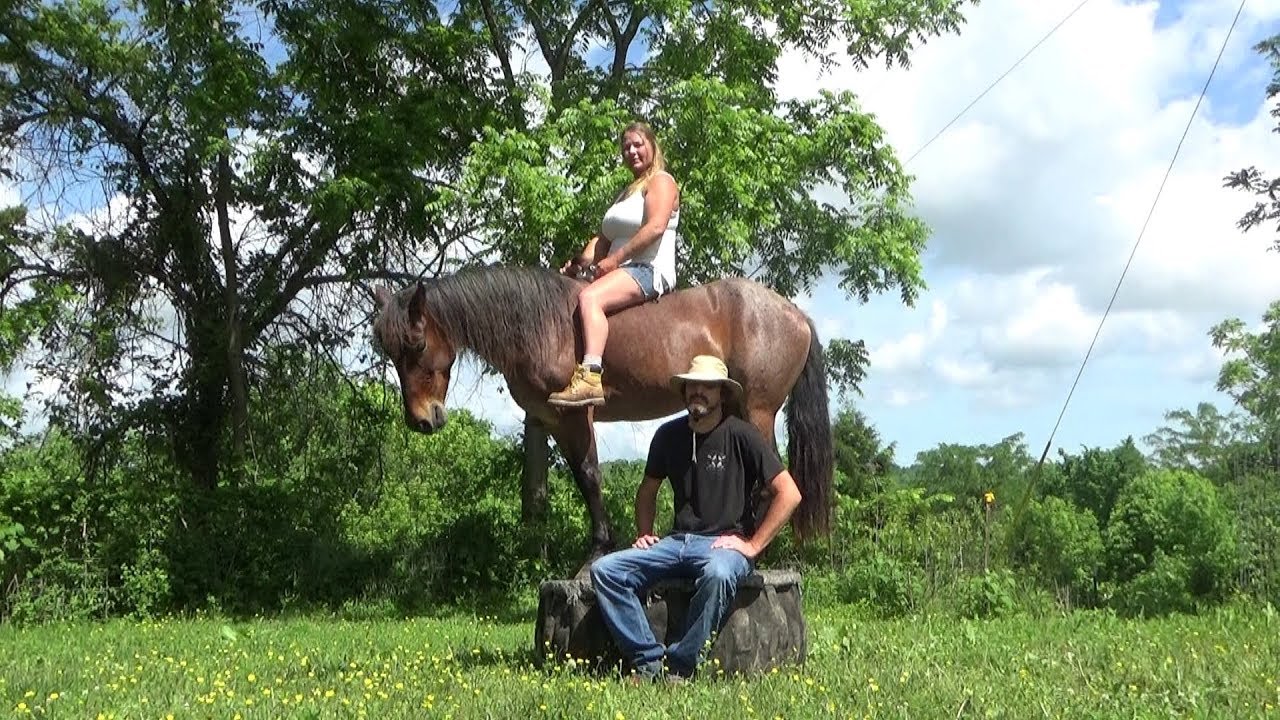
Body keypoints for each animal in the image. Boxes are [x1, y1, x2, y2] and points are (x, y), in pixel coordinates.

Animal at [371, 264, 833, 574]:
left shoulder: (576, 414)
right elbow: (580, 477)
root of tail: (796, 316)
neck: (544, 325)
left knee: (769, 482)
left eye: (416, 345)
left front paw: (594, 554)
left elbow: (591, 475)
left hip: (758, 411)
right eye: (388, 351)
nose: (421, 420)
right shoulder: (553, 421)